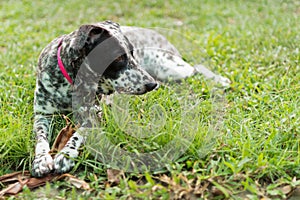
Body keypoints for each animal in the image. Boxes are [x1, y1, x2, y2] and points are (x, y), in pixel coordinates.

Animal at [32, 20, 230, 177]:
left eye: (133, 53)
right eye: (118, 58)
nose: (151, 85)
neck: (70, 82)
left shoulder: (94, 113)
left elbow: (77, 134)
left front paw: (66, 155)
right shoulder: (42, 115)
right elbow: (40, 139)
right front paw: (41, 160)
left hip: (170, 66)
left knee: (196, 69)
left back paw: (221, 80)